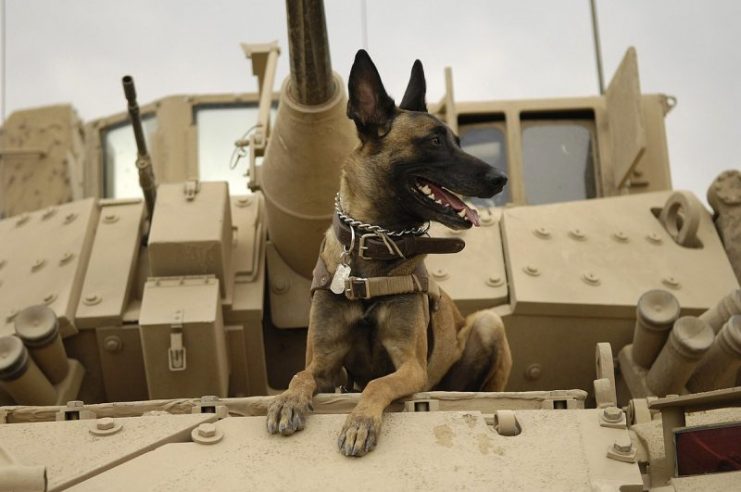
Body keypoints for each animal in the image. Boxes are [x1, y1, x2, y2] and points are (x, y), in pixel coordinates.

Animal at [264, 50, 512, 458]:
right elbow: (300, 375)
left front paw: (360, 423)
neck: (373, 247)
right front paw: (287, 401)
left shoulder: (410, 367)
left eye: (458, 141)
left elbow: (376, 384)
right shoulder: (324, 364)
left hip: (488, 324)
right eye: (434, 141)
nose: (500, 178)